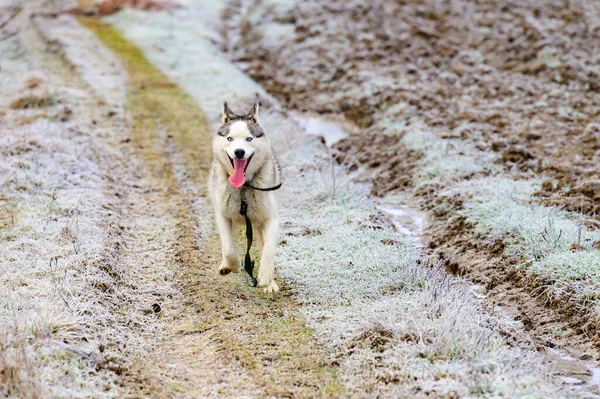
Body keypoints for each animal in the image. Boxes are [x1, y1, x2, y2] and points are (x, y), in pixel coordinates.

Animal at [207, 101, 282, 292]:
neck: (242, 188)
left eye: (249, 139)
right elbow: (228, 248)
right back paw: (225, 265)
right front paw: (232, 264)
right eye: (229, 139)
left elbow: (268, 249)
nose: (239, 152)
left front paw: (266, 276)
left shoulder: (270, 219)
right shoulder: (223, 215)